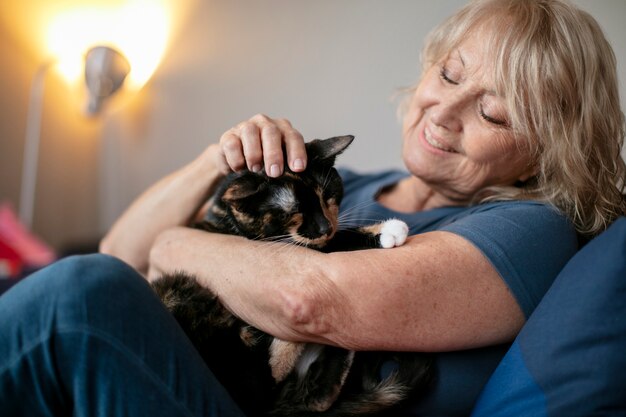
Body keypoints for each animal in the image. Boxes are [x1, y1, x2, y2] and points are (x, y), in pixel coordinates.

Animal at [154, 135, 432, 414]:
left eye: (327, 195)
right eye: (293, 212)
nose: (325, 227)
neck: (228, 221)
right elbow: (332, 243)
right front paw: (386, 231)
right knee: (271, 381)